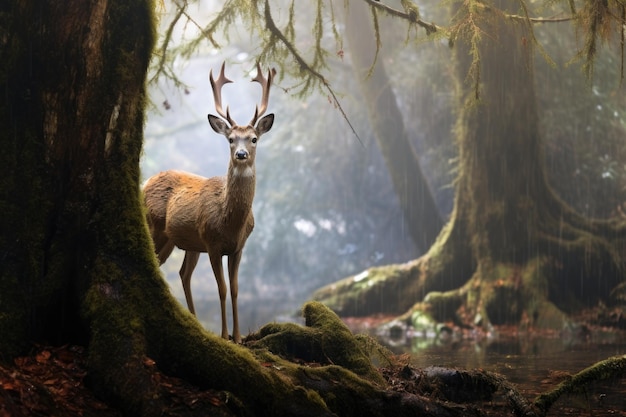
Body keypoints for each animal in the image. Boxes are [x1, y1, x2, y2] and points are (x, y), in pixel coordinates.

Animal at [146, 61, 276, 342]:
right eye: (230, 139)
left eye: (254, 138)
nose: (241, 154)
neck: (231, 222)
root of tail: (145, 181)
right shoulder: (212, 243)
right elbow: (222, 289)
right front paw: (225, 335)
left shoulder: (238, 247)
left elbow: (236, 289)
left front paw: (238, 337)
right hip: (156, 227)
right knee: (161, 265)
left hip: (184, 241)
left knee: (182, 273)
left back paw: (194, 321)